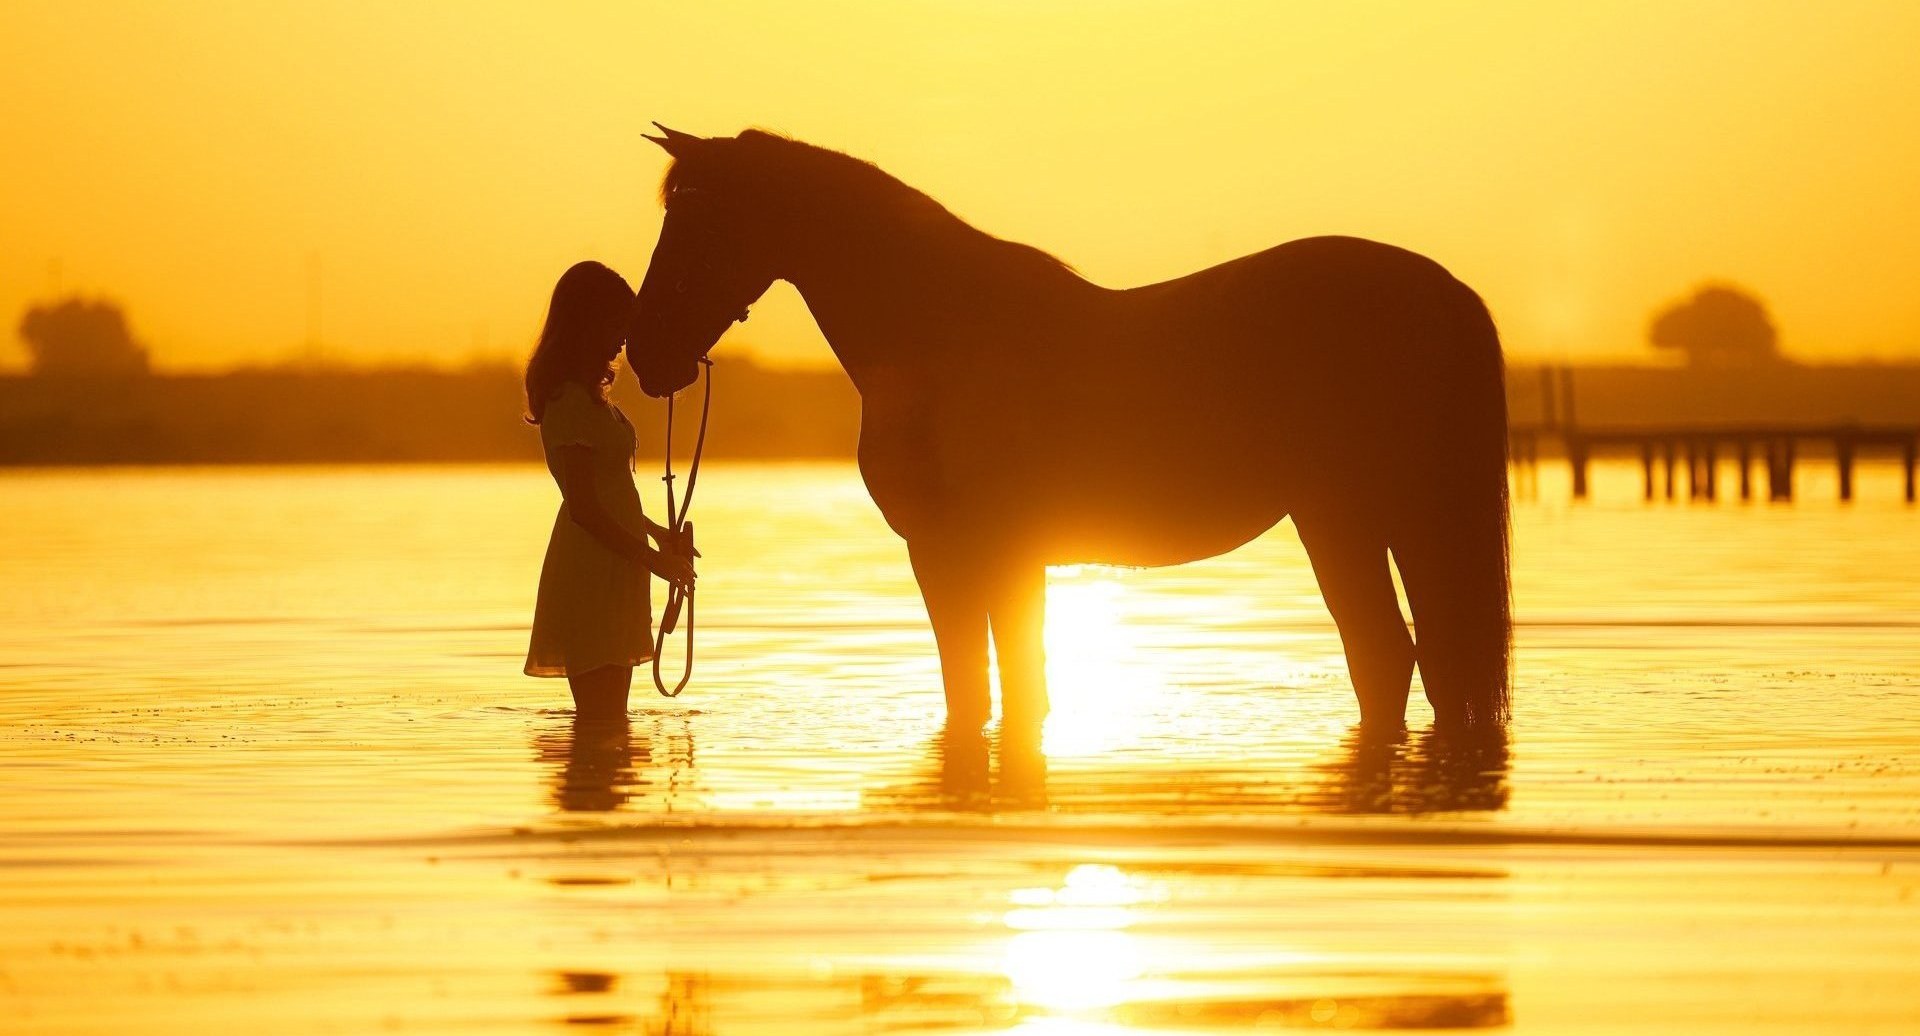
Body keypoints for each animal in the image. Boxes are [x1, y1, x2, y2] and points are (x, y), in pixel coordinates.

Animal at [626, 126, 1511, 733]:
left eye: (700, 224)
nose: (646, 353)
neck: (940, 334)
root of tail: (1439, 288)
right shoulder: (988, 558)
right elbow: (999, 689)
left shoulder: (957, 554)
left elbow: (997, 689)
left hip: (1349, 515)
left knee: (1391, 654)